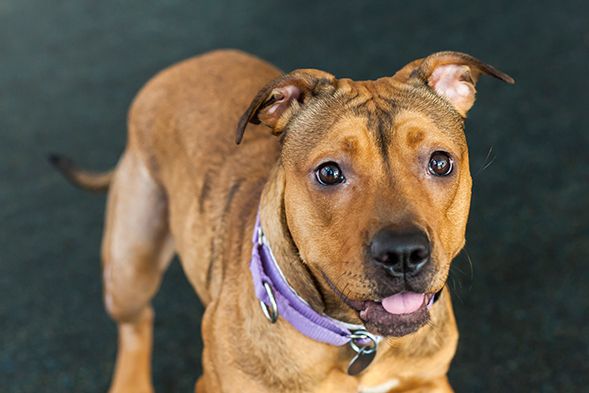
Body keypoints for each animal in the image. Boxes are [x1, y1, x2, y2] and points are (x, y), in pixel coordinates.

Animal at [52, 49, 512, 392]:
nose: (403, 253)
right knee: (137, 321)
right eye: (329, 173)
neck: (354, 340)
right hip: (130, 271)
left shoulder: (428, 380)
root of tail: (181, 66)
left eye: (440, 162)